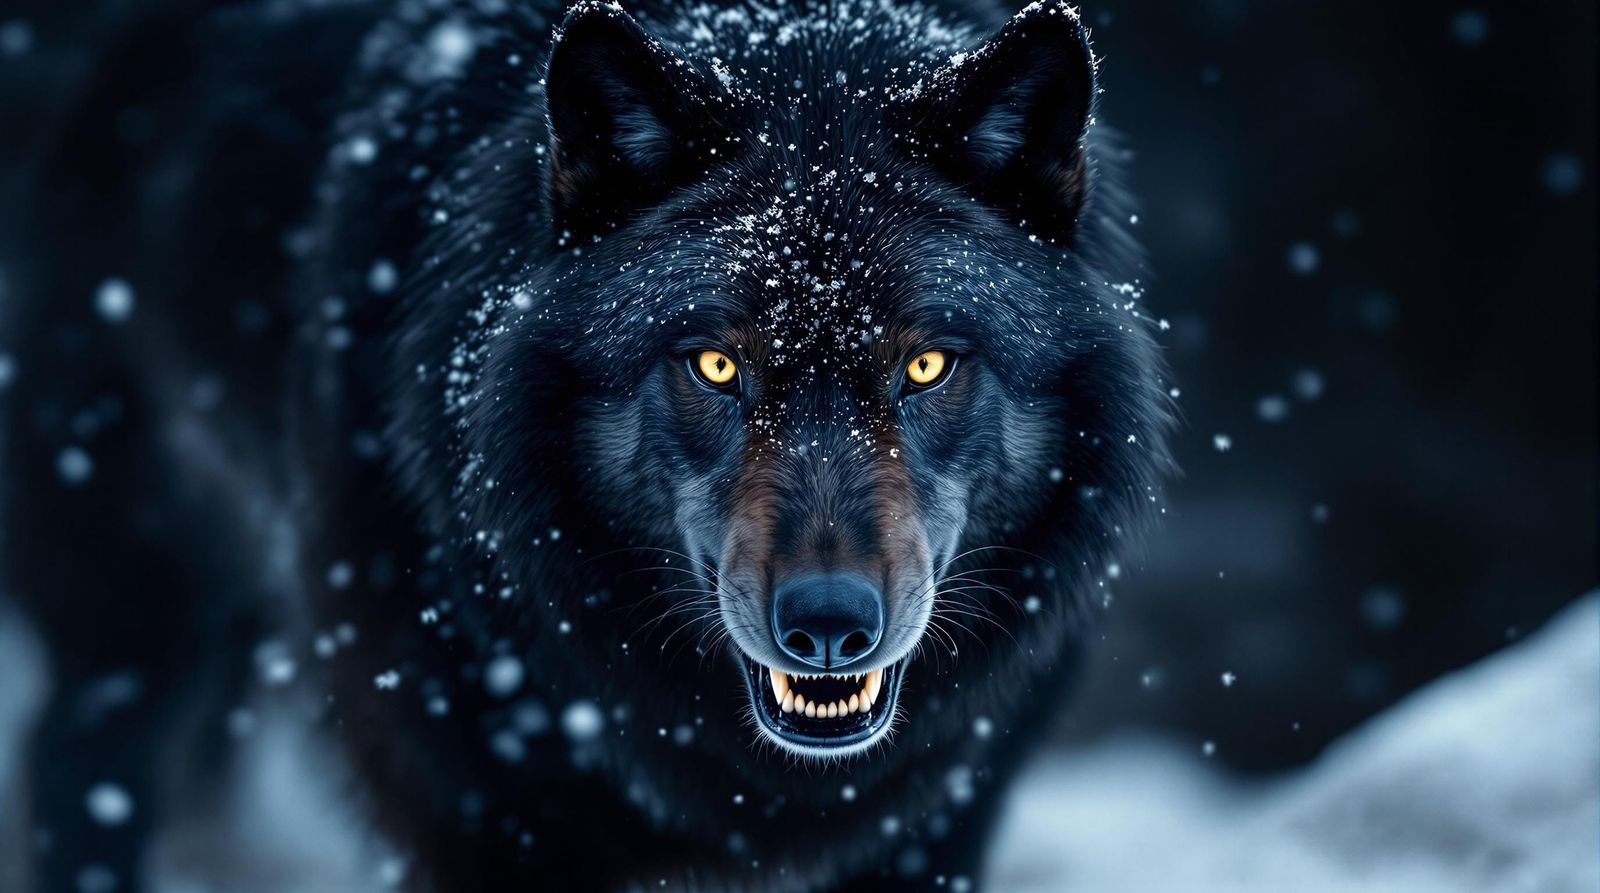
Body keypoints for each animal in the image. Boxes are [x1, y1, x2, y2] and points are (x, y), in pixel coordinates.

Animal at [2, 0, 1174, 890]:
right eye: (715, 366)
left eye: (926, 365)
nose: (830, 626)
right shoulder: (478, 812)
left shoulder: (940, 815)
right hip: (134, 608)